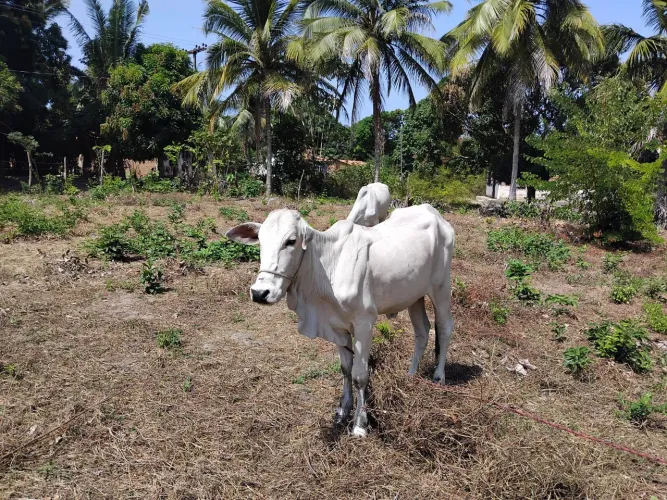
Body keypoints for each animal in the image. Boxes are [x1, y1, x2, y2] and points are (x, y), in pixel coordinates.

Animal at [226, 204, 455, 437]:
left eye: (291, 241)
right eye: (260, 240)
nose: (260, 293)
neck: (327, 267)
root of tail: (432, 211)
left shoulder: (364, 324)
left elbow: (359, 375)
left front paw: (360, 424)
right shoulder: (336, 326)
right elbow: (345, 369)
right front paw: (343, 411)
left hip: (441, 289)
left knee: (445, 328)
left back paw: (438, 376)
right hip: (415, 296)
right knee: (422, 331)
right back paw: (410, 375)